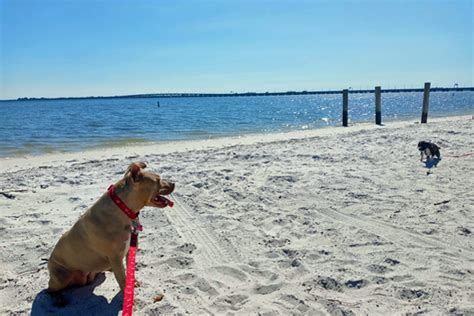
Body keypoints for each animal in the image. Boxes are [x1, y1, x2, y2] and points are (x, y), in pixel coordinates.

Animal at [47, 162, 176, 304]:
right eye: (158, 180)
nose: (174, 183)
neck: (123, 208)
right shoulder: (116, 258)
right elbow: (123, 280)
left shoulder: (128, 251)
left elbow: (128, 272)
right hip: (61, 276)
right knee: (50, 289)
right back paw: (58, 298)